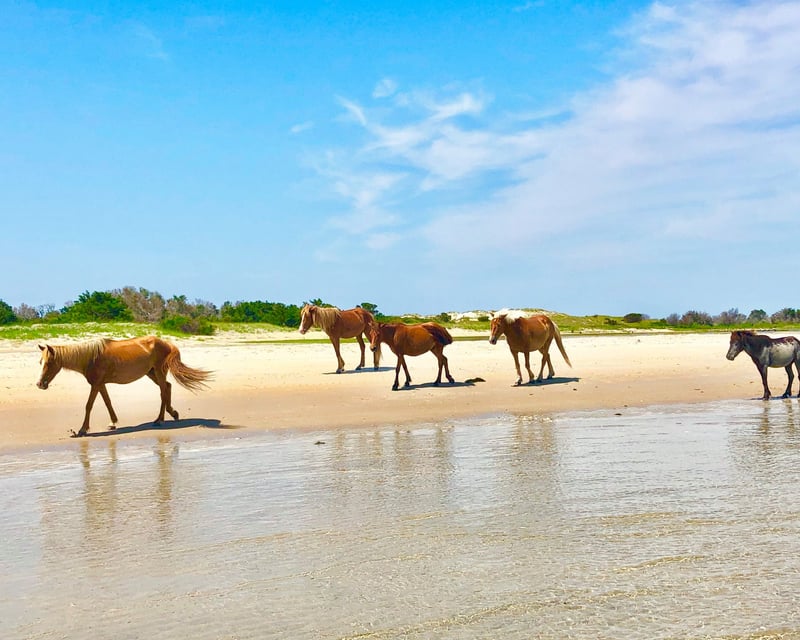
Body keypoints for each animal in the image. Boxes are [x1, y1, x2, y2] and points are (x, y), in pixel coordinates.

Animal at [37, 336, 212, 437]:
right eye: (40, 362)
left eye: (49, 362)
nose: (40, 384)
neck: (90, 358)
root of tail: (168, 344)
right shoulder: (100, 384)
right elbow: (107, 402)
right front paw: (112, 423)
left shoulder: (96, 384)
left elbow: (89, 405)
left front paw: (82, 429)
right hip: (151, 373)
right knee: (167, 387)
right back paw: (173, 413)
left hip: (158, 372)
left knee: (163, 391)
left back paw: (160, 420)